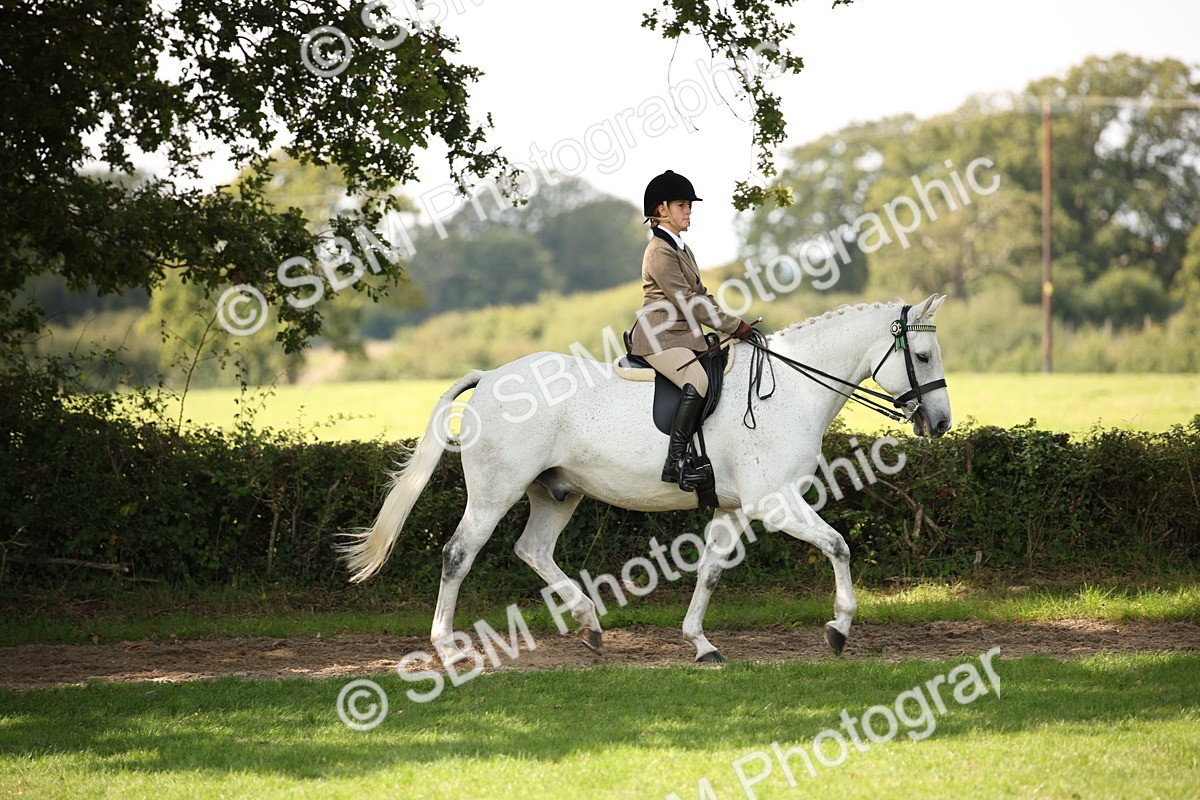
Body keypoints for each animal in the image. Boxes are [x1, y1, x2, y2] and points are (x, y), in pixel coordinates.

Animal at [339, 294, 952, 664]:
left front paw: (700, 643)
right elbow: (839, 546)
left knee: (532, 549)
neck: (793, 391)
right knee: (458, 554)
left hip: (557, 492)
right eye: (922, 355)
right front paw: (839, 629)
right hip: (495, 492)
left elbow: (710, 572)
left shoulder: (733, 508)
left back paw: (590, 626)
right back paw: (447, 647)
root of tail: (490, 376)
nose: (941, 423)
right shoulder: (774, 502)